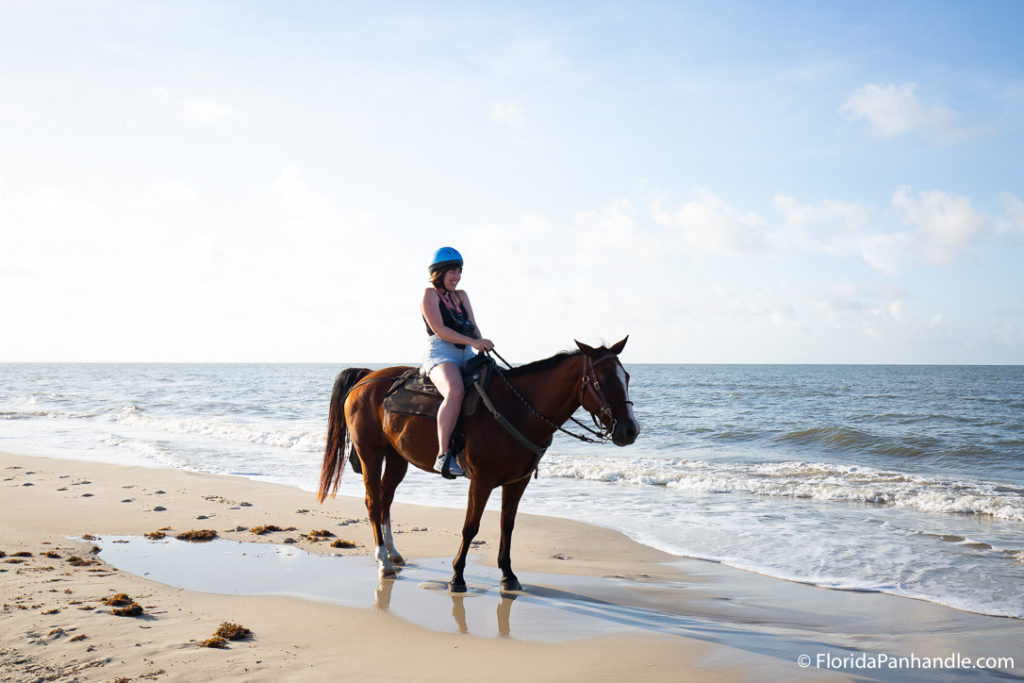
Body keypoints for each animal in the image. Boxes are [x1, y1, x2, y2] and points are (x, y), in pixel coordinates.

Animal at [317, 337, 638, 593]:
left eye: (626, 376)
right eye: (602, 380)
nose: (630, 430)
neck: (517, 408)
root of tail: (368, 376)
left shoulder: (517, 481)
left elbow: (507, 526)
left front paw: (508, 575)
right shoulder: (481, 480)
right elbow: (471, 527)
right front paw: (457, 577)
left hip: (397, 458)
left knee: (385, 500)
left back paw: (394, 554)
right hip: (370, 454)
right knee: (373, 502)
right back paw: (384, 562)